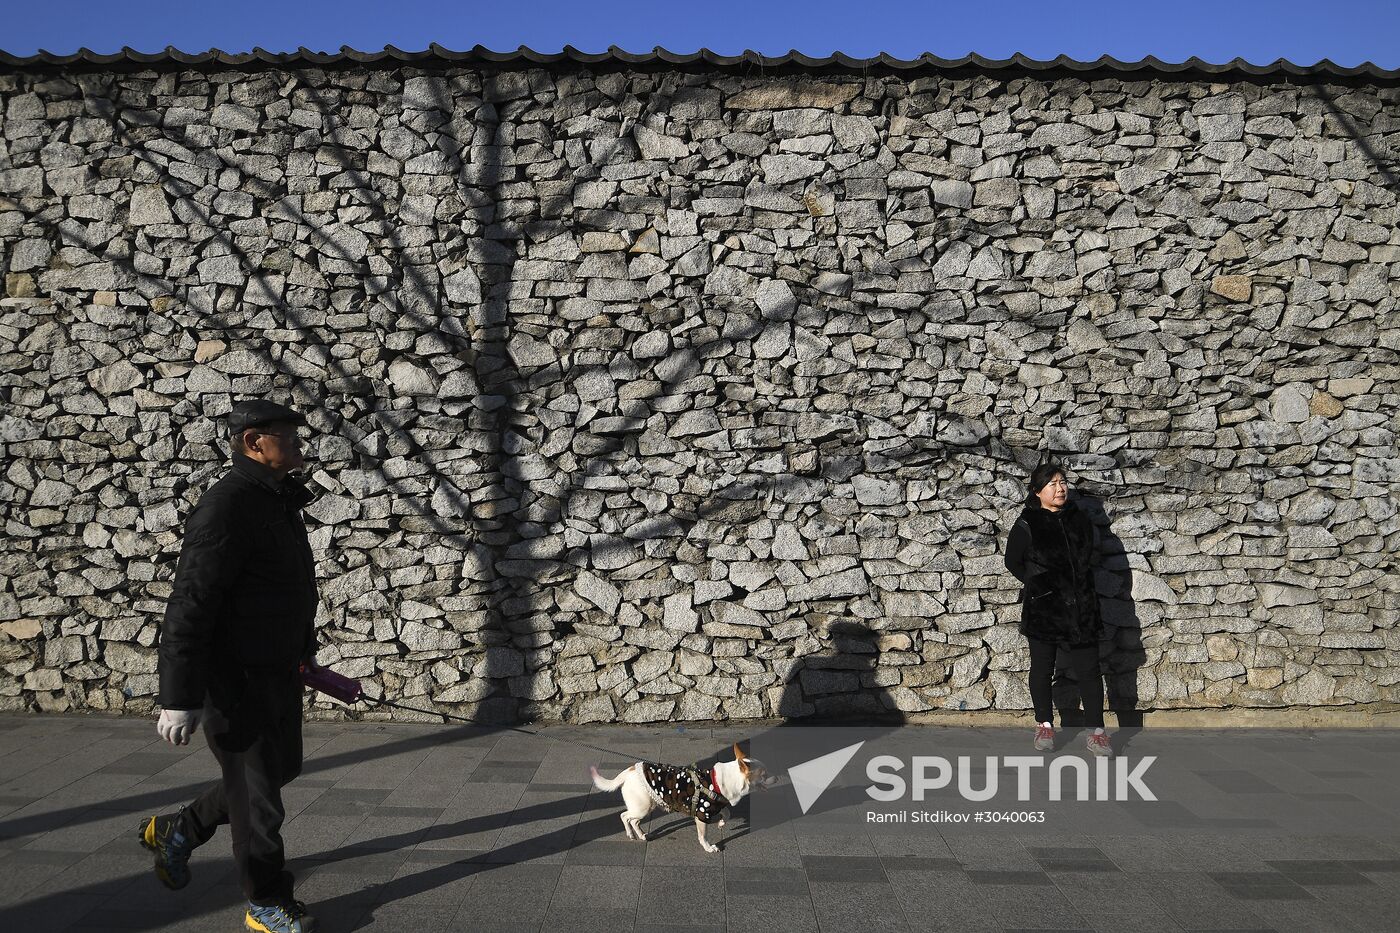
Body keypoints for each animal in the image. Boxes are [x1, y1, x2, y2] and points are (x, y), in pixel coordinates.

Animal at [588, 739, 772, 851]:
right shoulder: (702, 815)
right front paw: (709, 848)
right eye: (764, 774)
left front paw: (721, 823)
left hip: (646, 807)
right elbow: (703, 835)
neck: (718, 782)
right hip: (642, 807)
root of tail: (628, 771)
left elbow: (727, 813)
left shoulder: (716, 805)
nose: (776, 776)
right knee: (624, 816)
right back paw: (631, 834)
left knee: (633, 821)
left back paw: (640, 835)